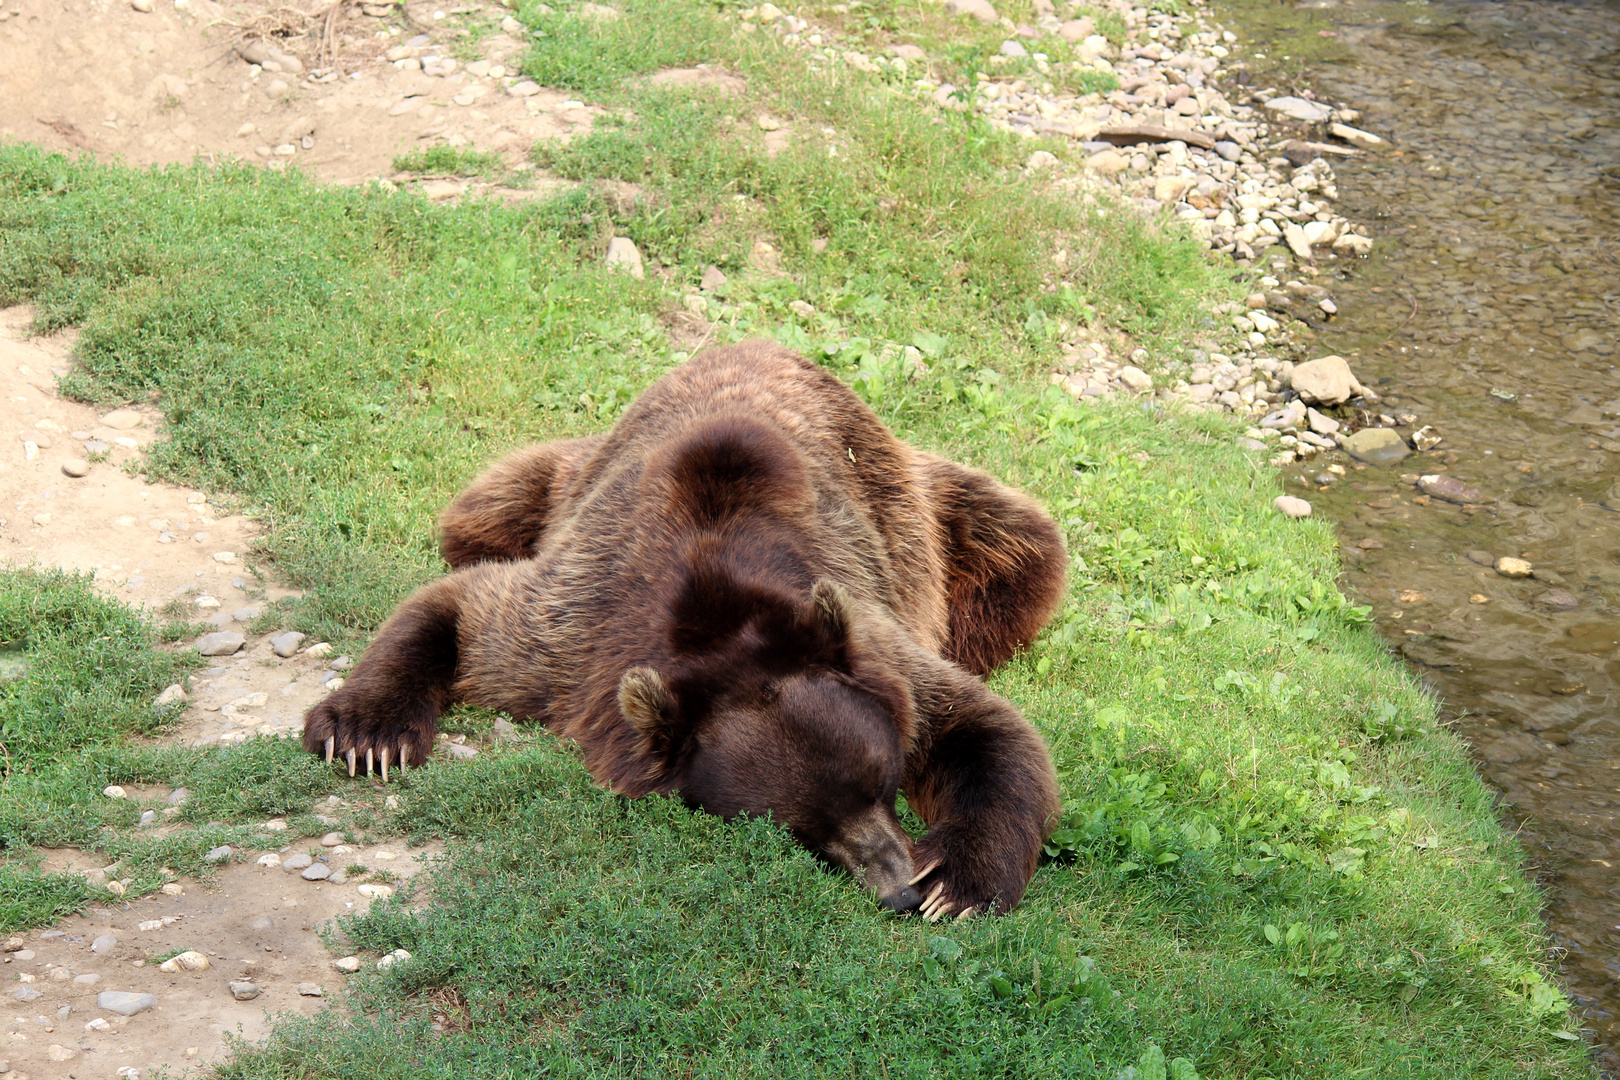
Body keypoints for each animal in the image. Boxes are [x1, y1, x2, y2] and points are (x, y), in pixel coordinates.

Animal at [302, 341, 1069, 919]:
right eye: (801, 829)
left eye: (881, 782)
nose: (900, 891)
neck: (717, 613)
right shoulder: (576, 634)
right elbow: (460, 611)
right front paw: (365, 735)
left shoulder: (869, 636)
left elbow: (978, 727)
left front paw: (955, 882)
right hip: (559, 479)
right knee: (482, 511)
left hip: (921, 511)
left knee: (1020, 549)